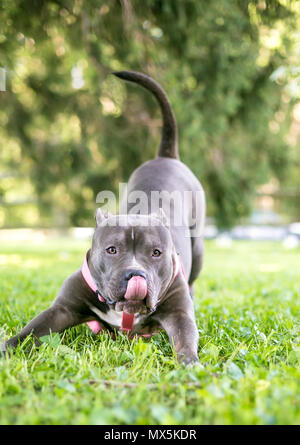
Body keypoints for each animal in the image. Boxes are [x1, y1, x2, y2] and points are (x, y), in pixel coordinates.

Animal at [1, 71, 205, 362]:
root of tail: (165, 157)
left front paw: (190, 363)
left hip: (198, 248)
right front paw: (6, 349)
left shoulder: (178, 314)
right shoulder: (61, 310)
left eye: (156, 253)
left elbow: (185, 340)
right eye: (112, 250)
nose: (136, 275)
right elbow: (29, 332)